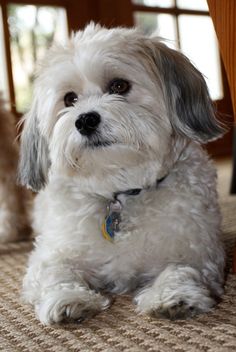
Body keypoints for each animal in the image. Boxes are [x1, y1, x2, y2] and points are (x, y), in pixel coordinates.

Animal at [18, 22, 225, 324]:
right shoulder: (50, 254)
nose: (85, 120)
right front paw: (68, 298)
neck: (121, 192)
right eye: (70, 99)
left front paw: (173, 296)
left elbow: (180, 269)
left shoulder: (197, 252)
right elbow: (56, 273)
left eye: (119, 85)